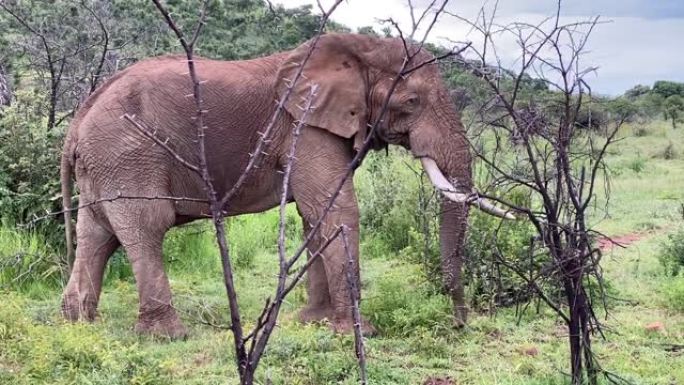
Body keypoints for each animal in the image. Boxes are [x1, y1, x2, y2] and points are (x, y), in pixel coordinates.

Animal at [60, 33, 512, 340]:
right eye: (413, 101)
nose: (459, 321)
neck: (359, 48)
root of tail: (78, 120)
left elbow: (315, 213)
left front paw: (313, 321)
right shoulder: (305, 126)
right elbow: (337, 209)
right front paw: (357, 333)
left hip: (104, 164)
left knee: (97, 233)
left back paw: (79, 322)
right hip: (126, 153)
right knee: (147, 225)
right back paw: (169, 336)